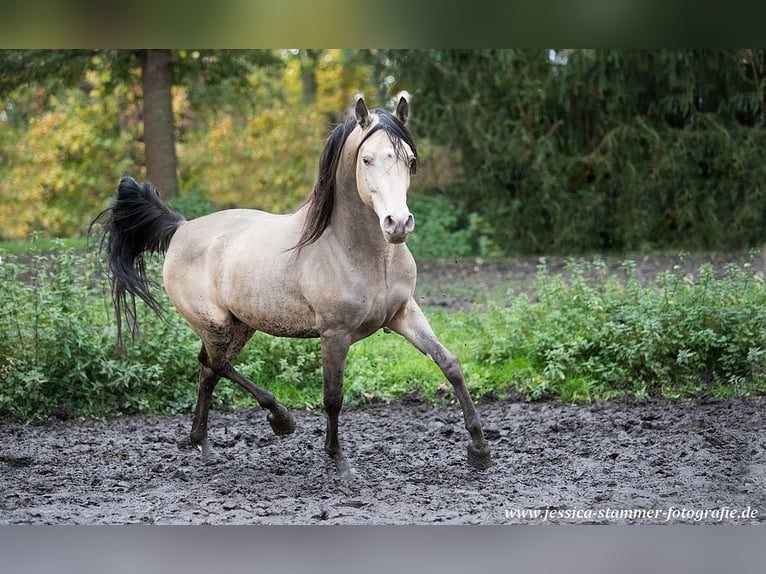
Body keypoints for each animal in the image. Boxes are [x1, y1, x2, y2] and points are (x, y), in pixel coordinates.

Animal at [96, 97, 496, 480]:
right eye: (366, 159)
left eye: (409, 161)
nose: (397, 224)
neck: (357, 251)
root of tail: (180, 228)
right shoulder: (335, 333)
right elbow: (333, 397)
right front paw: (340, 463)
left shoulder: (403, 314)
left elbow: (450, 364)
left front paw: (479, 451)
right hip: (216, 325)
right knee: (214, 363)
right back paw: (279, 419)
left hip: (241, 326)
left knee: (209, 370)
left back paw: (206, 446)